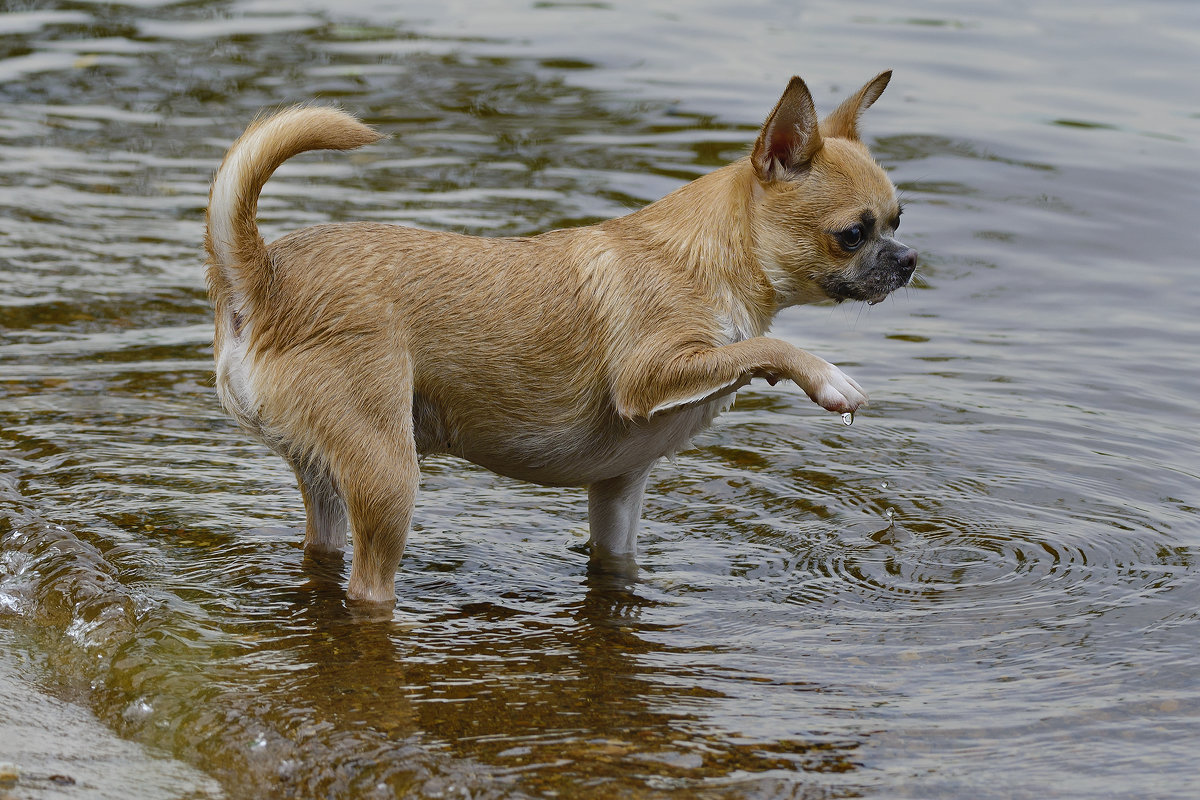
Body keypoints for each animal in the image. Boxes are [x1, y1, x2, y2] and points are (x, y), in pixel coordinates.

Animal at [208, 70, 916, 606]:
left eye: (898, 220)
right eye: (853, 234)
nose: (909, 260)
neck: (706, 258)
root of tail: (262, 278)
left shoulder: (618, 492)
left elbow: (616, 559)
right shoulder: (650, 375)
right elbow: (760, 349)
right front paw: (827, 377)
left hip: (327, 478)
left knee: (322, 546)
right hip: (388, 477)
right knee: (369, 586)